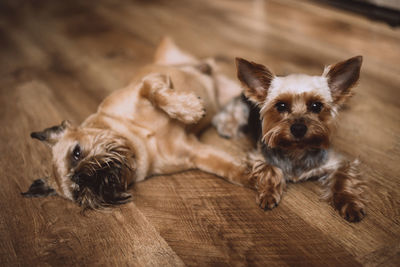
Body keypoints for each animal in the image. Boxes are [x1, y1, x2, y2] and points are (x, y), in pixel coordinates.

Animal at [25, 37, 248, 210]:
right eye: (78, 192)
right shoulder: (196, 154)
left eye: (76, 152)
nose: (82, 176)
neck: (139, 139)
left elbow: (157, 94)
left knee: (200, 65)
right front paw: (255, 179)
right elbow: (230, 169)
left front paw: (188, 109)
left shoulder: (149, 83)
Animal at [214, 56, 368, 222]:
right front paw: (268, 194)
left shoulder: (337, 162)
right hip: (237, 110)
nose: (298, 128)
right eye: (281, 106)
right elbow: (270, 169)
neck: (296, 150)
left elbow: (343, 177)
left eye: (316, 106)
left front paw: (350, 204)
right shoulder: (258, 156)